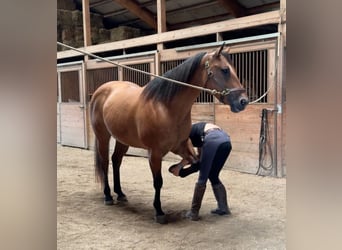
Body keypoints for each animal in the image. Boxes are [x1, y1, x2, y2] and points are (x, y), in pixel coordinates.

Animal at [89, 44, 247, 224]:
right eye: (225, 70)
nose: (243, 101)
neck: (165, 107)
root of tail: (101, 91)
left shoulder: (180, 146)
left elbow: (197, 163)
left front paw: (177, 170)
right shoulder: (155, 153)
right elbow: (158, 182)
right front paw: (159, 211)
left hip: (123, 139)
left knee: (116, 161)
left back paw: (120, 194)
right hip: (103, 136)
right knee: (105, 162)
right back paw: (108, 196)